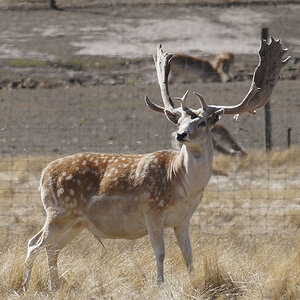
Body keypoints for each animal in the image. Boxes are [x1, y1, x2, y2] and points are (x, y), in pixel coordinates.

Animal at [23, 37, 290, 290]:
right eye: (179, 121)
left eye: (202, 122)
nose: (180, 135)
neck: (182, 186)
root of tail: (43, 174)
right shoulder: (152, 211)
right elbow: (160, 253)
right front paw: (159, 284)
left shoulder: (183, 220)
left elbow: (188, 255)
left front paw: (193, 280)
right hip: (59, 212)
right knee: (34, 243)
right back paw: (26, 286)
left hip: (77, 222)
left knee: (51, 249)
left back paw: (54, 286)